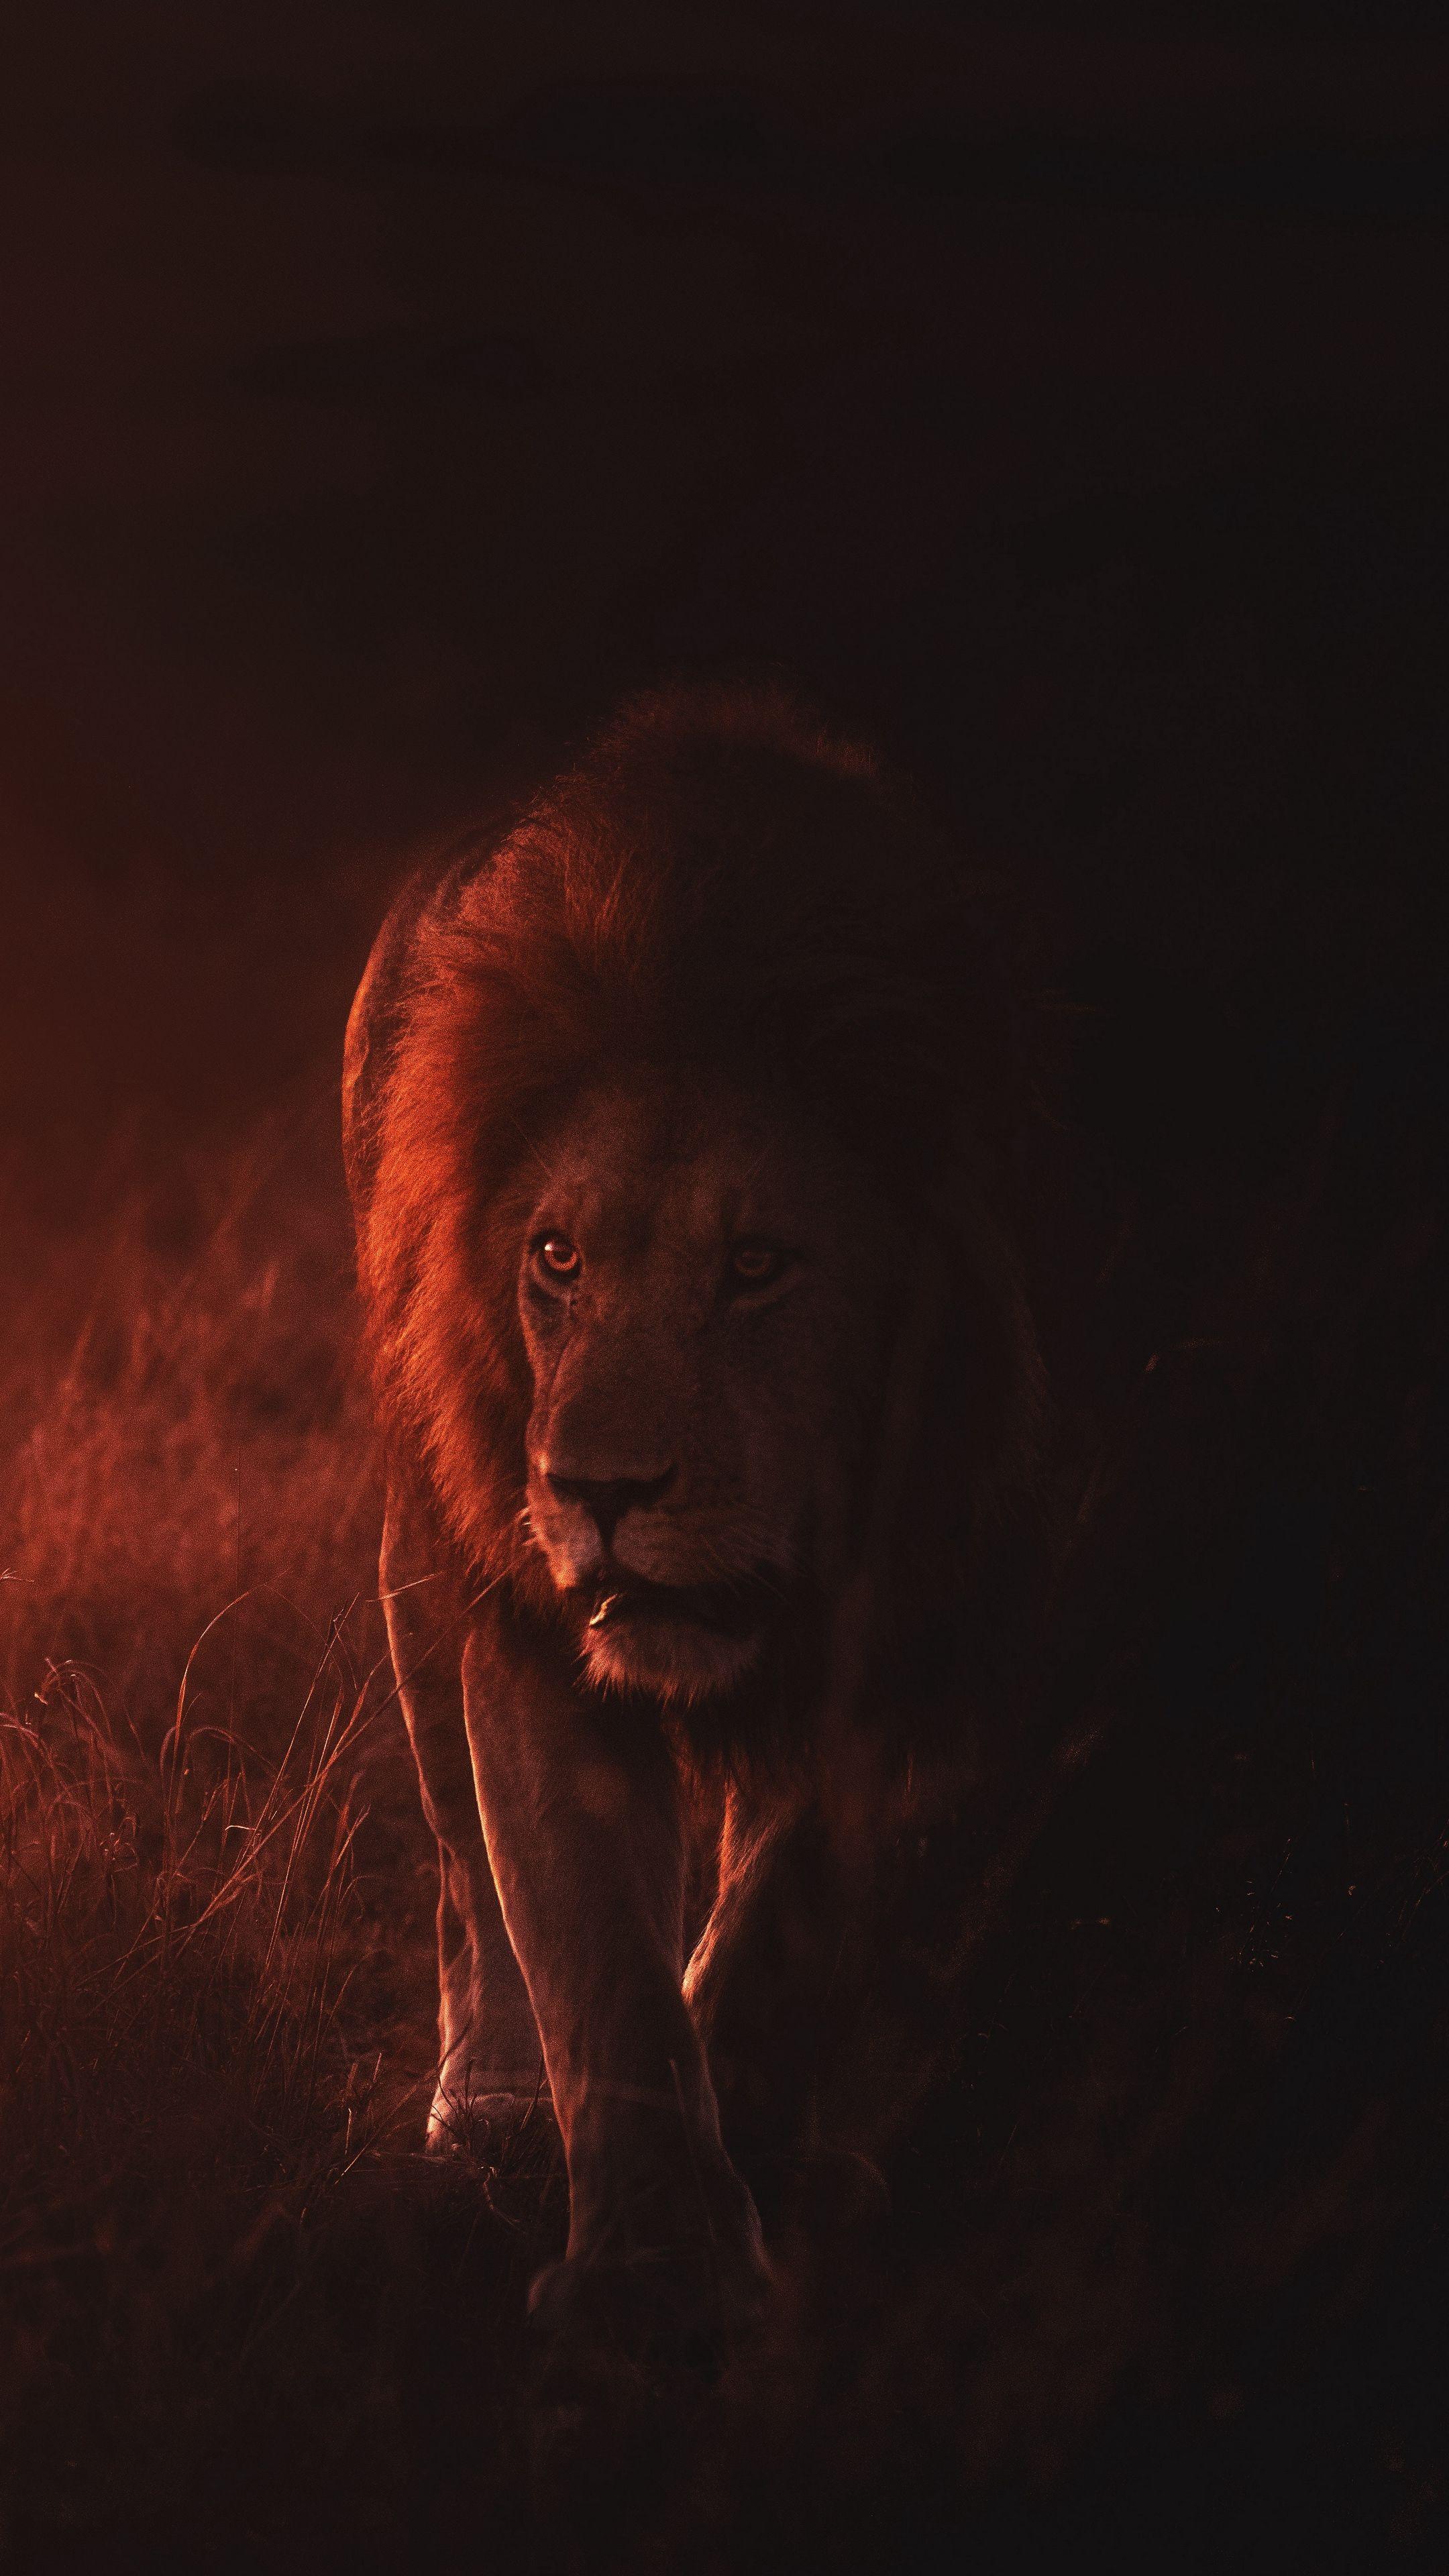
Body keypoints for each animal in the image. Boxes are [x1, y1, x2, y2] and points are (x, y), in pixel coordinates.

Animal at [343, 680, 1044, 2376]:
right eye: (555, 1256)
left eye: (757, 1266)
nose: (598, 1491)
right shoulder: (533, 1627)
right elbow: (589, 1942)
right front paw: (650, 2268)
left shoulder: (948, 1605)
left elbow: (795, 1899)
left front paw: (759, 2126)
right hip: (427, 1561)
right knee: (466, 1874)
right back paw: (495, 2108)